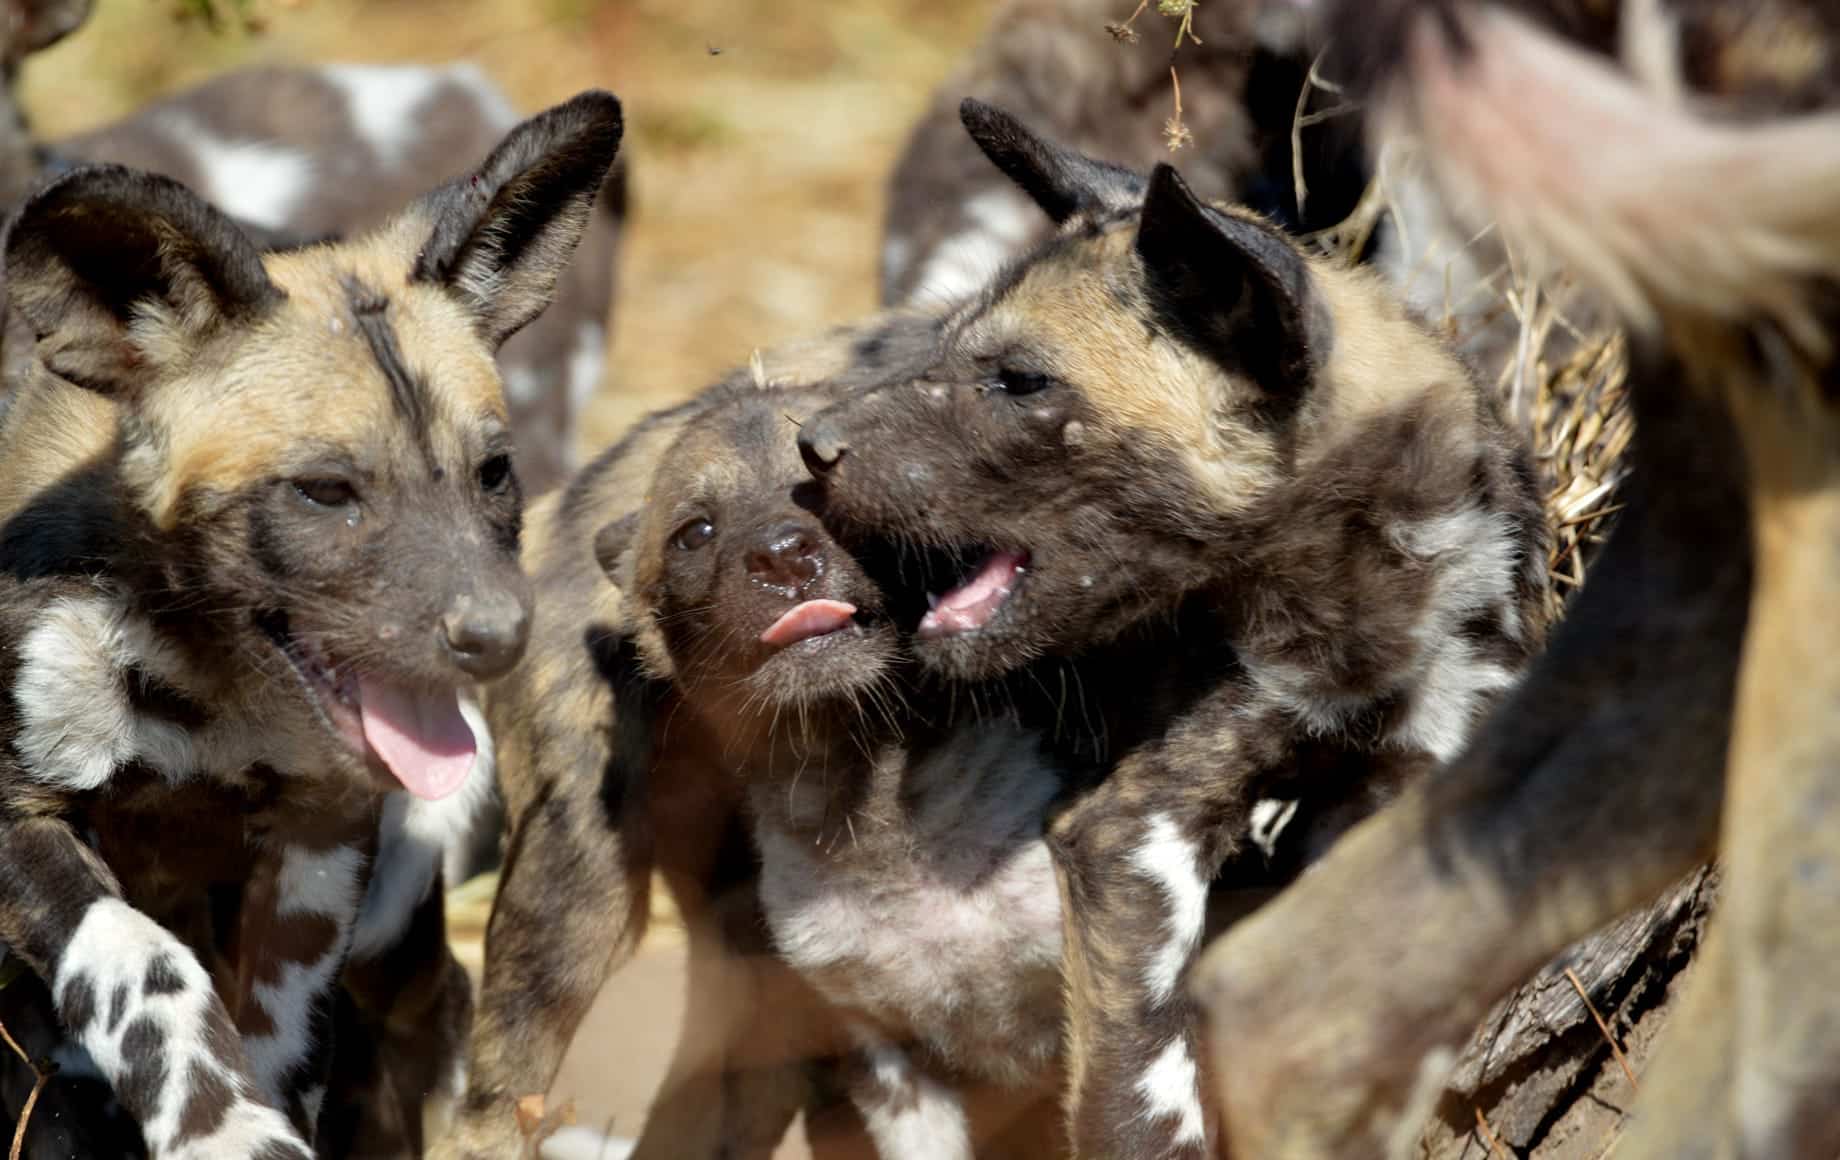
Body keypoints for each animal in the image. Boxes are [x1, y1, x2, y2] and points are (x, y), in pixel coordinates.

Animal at [0, 84, 625, 1160]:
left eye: (493, 472)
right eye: (326, 491)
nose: (499, 636)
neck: (195, 669)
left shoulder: (322, 835)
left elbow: (285, 1034)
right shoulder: (16, 816)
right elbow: (141, 964)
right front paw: (221, 1127)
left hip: (394, 929)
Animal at [805, 102, 1552, 1160]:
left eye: (1019, 380)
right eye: (943, 350)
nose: (811, 447)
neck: (1357, 612)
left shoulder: (1416, 780)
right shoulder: (1131, 834)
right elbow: (1143, 1095)